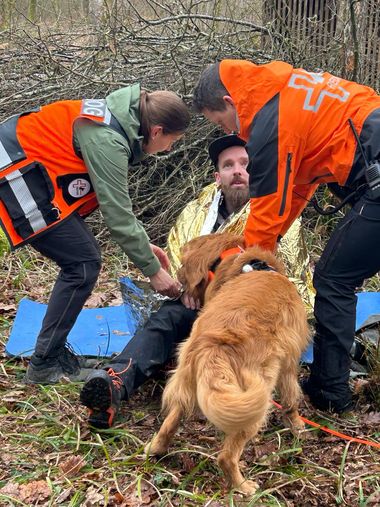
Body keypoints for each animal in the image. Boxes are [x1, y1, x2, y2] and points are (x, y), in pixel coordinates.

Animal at [145, 233, 308, 496]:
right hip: (252, 407)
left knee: (170, 424)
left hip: (186, 383)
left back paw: (156, 448)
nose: (178, 281)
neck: (249, 267)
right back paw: (243, 486)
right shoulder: (289, 364)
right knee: (226, 457)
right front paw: (297, 425)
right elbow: (291, 399)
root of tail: (215, 344)